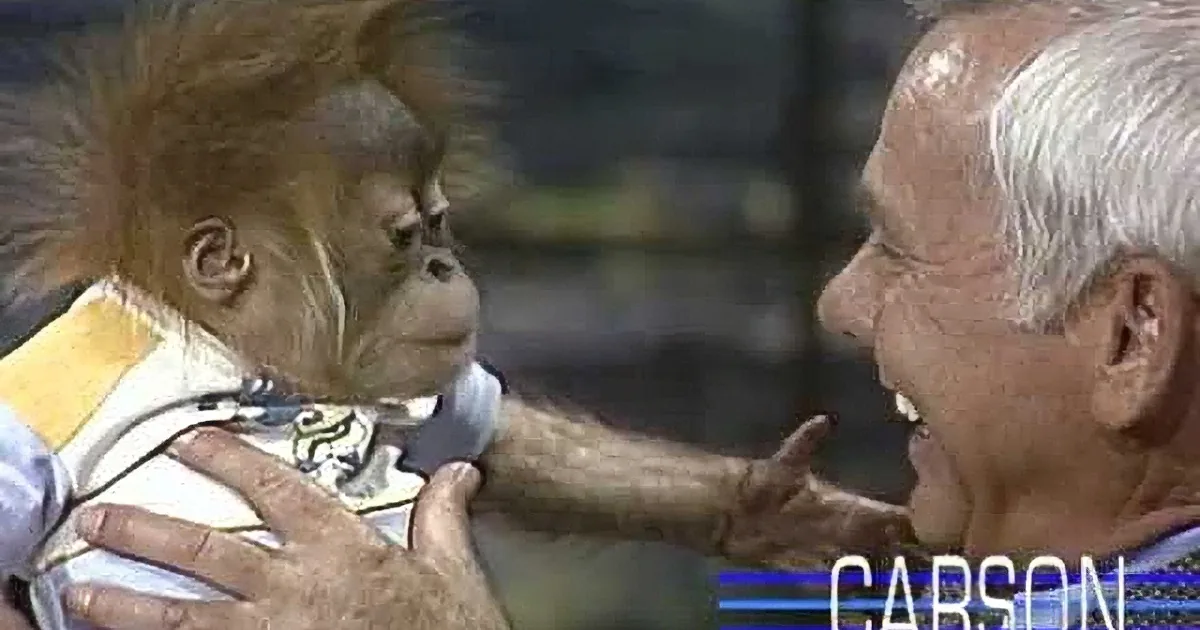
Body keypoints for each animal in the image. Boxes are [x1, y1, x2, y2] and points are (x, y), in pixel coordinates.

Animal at [0, 0, 917, 627]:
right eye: (407, 237)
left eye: (439, 224)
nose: (445, 266)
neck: (254, 368)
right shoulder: (86, 369)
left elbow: (479, 427)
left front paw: (770, 504)